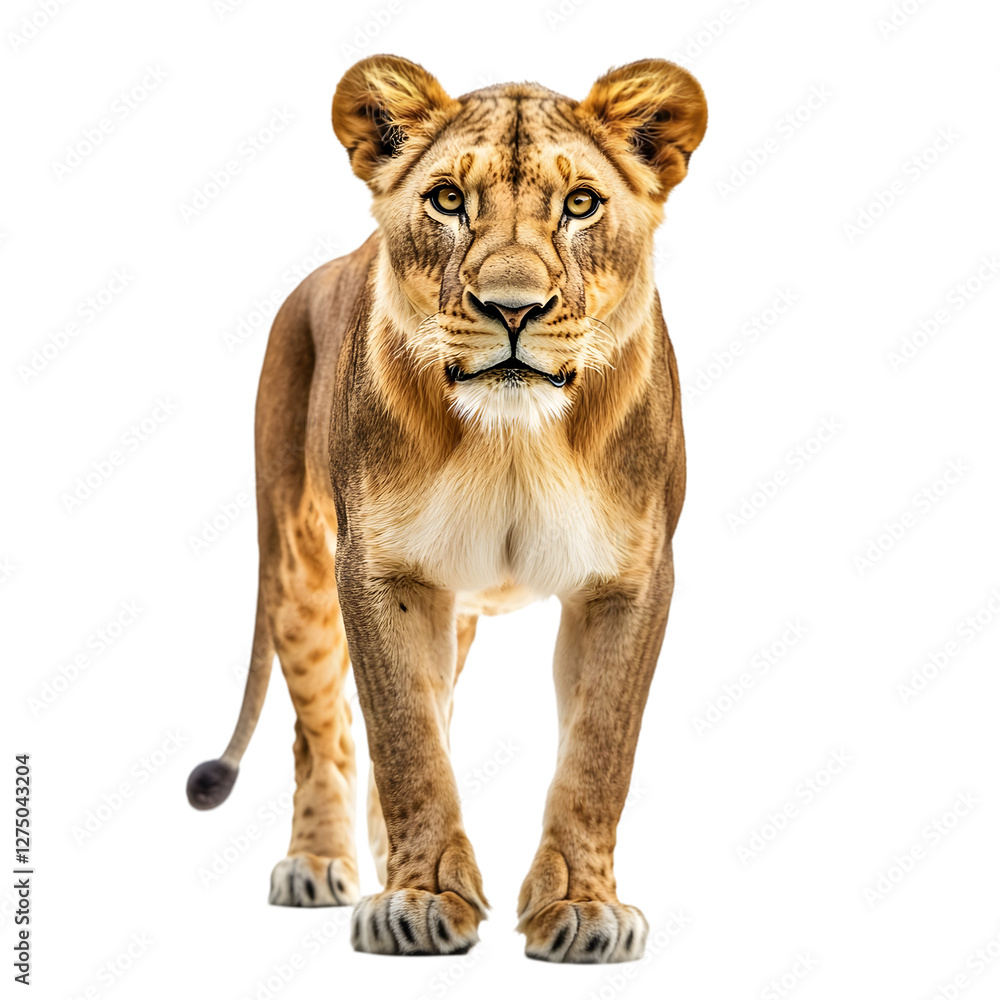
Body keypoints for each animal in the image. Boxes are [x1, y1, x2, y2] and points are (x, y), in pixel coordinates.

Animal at [186, 54, 707, 963]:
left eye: (580, 204)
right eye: (448, 200)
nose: (512, 307)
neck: (514, 440)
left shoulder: (631, 578)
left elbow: (598, 752)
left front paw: (585, 909)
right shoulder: (380, 570)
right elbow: (405, 739)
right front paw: (421, 900)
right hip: (294, 568)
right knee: (322, 730)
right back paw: (318, 863)